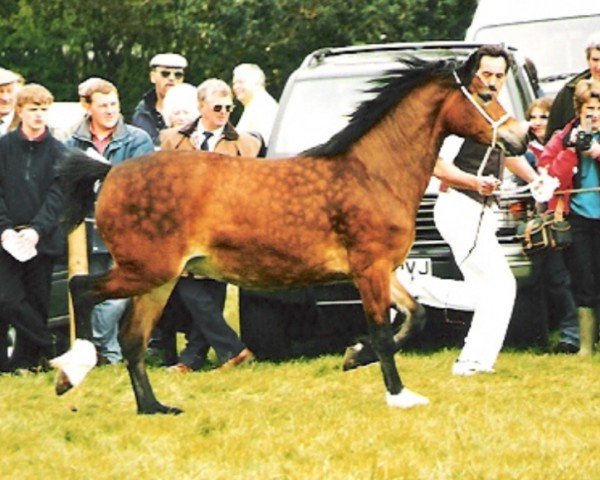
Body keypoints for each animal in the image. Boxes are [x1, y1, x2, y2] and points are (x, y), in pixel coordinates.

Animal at [54, 56, 528, 414]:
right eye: (486, 94)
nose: (521, 137)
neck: (373, 173)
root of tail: (111, 171)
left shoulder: (382, 270)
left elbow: (415, 316)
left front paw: (353, 356)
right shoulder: (369, 269)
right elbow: (381, 331)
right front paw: (397, 394)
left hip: (161, 280)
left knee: (133, 338)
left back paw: (154, 408)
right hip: (145, 270)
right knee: (82, 289)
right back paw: (70, 373)